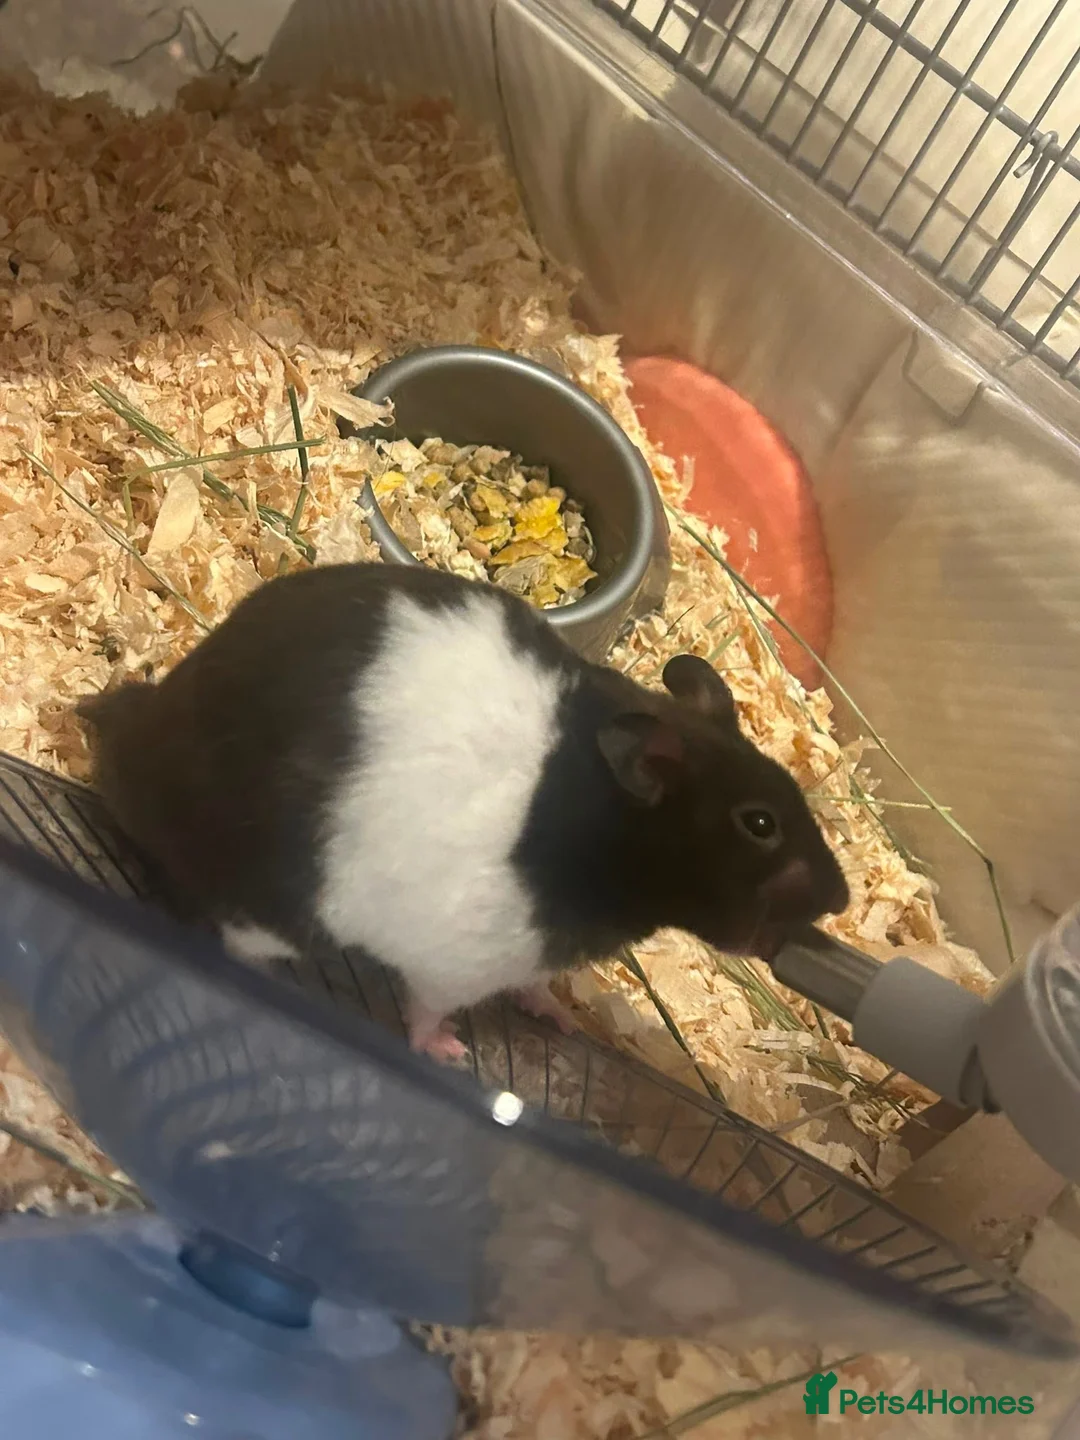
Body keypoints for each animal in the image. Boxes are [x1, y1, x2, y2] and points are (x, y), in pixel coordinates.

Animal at [77, 562, 849, 1061]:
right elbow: (429, 1007)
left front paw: (564, 1022)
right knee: (240, 948)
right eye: (759, 824)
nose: (840, 899)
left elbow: (538, 986)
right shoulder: (458, 960)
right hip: (266, 904)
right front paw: (448, 1051)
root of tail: (132, 743)